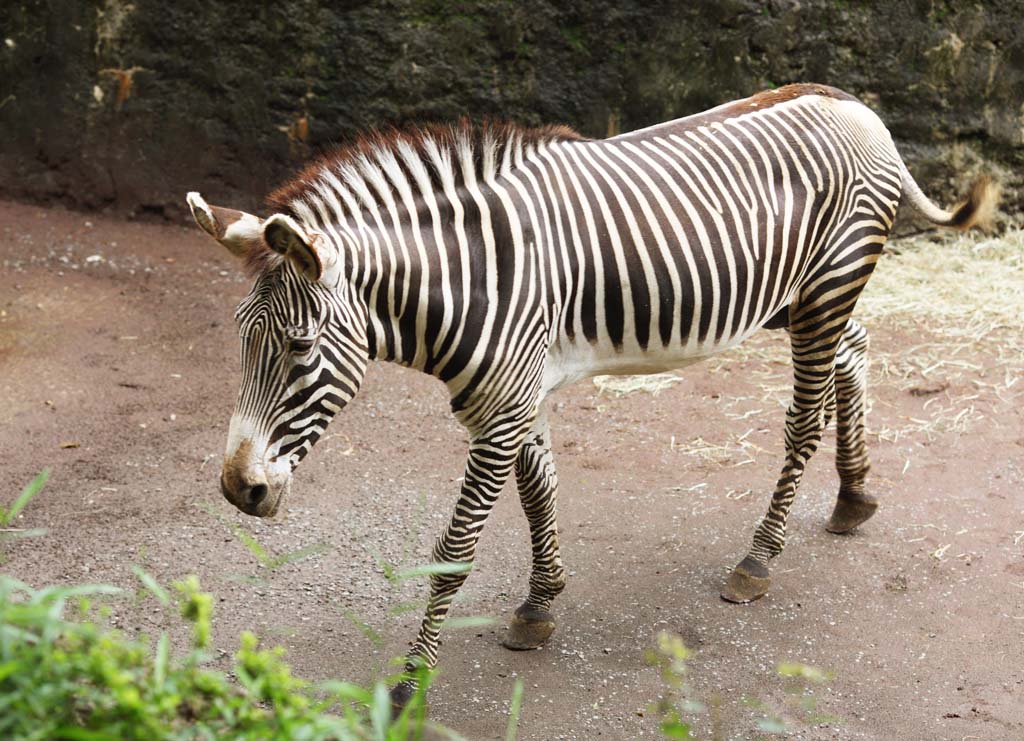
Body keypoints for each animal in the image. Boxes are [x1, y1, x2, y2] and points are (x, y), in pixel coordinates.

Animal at [184, 83, 991, 708]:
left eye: (298, 348)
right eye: (240, 337)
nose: (237, 489)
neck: (466, 284)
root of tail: (849, 100)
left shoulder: (499, 410)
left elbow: (454, 549)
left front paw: (411, 684)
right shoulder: (512, 398)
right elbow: (539, 492)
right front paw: (540, 606)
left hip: (826, 285)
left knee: (802, 418)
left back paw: (759, 558)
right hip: (795, 295)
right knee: (855, 352)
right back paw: (854, 495)